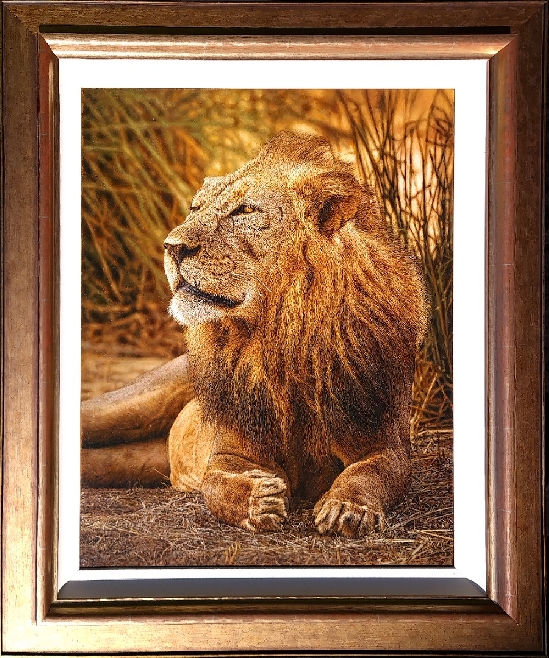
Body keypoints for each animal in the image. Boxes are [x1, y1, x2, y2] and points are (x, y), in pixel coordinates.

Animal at [81, 131, 428, 538]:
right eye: (195, 208)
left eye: (244, 211)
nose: (171, 246)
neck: (282, 337)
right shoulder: (232, 449)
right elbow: (215, 483)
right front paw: (257, 501)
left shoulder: (384, 441)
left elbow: (370, 474)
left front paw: (347, 508)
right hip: (131, 403)